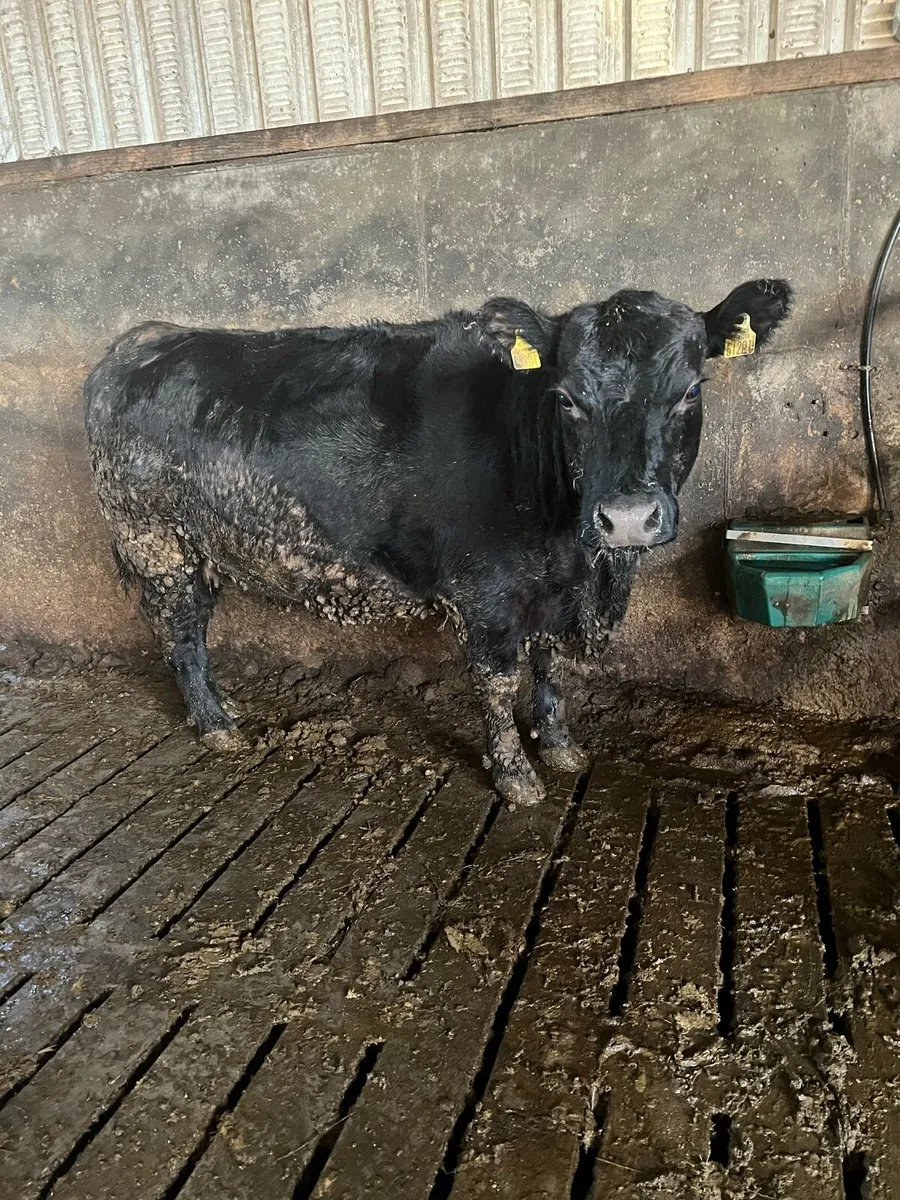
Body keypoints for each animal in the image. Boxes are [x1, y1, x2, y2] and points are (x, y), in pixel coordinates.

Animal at [84, 280, 792, 803]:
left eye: (691, 389)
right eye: (566, 399)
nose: (626, 516)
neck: (578, 561)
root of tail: (142, 339)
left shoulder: (554, 595)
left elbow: (552, 667)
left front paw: (562, 749)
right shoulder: (484, 593)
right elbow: (499, 683)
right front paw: (517, 778)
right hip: (156, 542)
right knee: (180, 631)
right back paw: (218, 726)